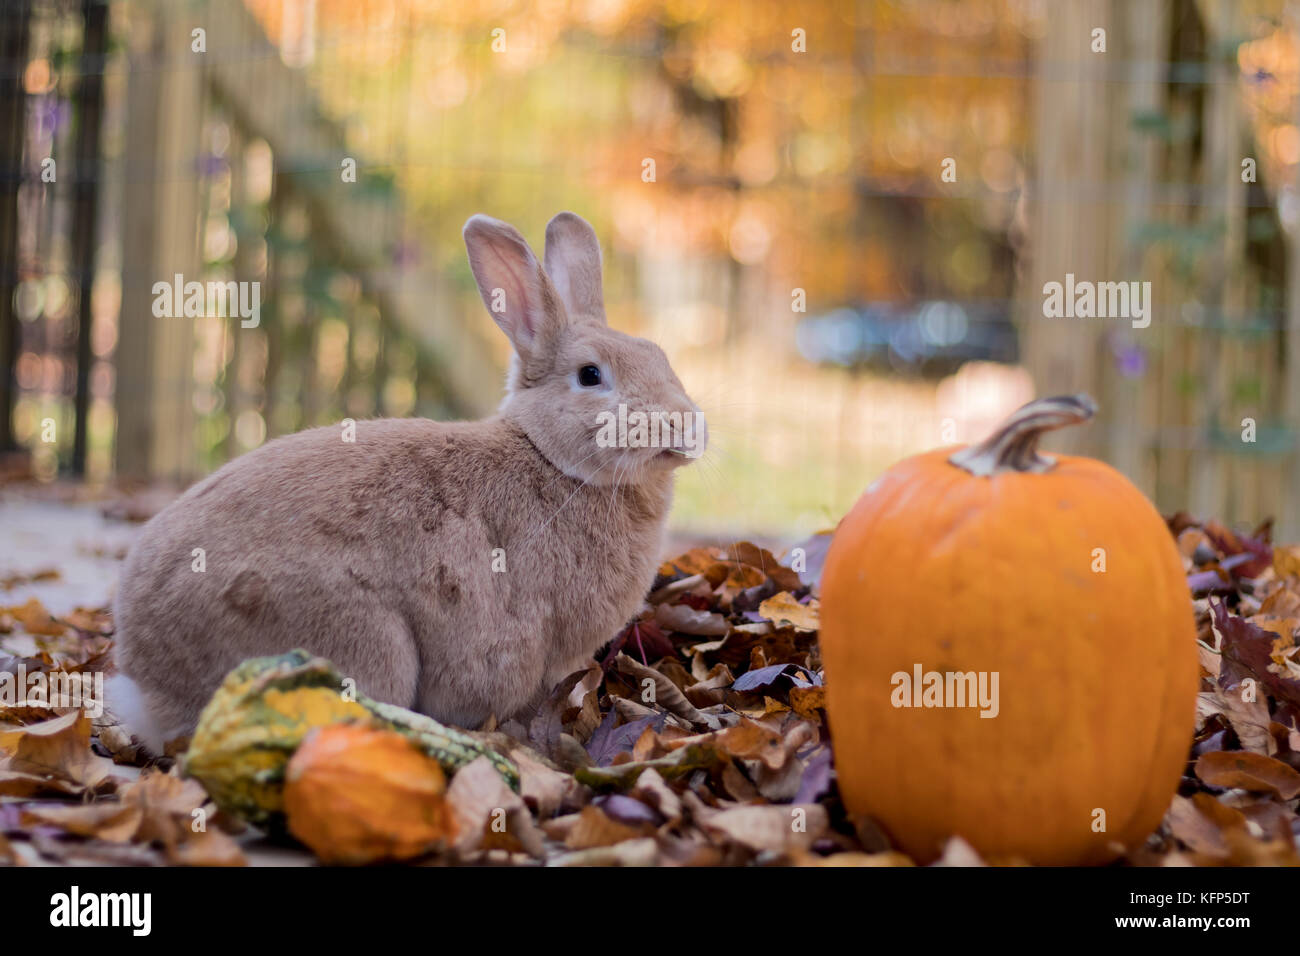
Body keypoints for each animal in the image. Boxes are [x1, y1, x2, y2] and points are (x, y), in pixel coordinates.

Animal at [108, 211, 706, 753]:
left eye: (659, 356)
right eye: (590, 375)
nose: (685, 425)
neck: (552, 459)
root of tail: (148, 682)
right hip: (366, 644)